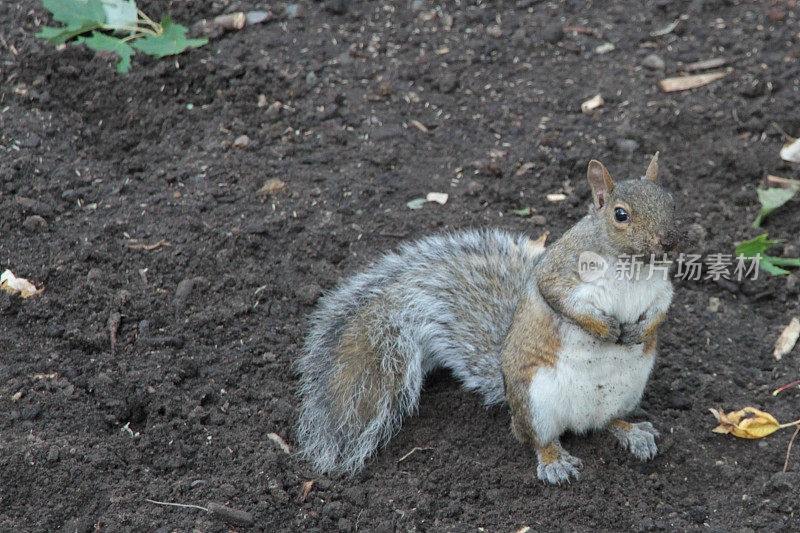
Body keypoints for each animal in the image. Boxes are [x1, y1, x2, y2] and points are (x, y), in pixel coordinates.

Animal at [296, 153, 680, 482]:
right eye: (620, 215)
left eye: (670, 200)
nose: (669, 241)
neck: (631, 265)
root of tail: (580, 420)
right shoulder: (560, 272)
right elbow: (559, 299)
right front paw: (603, 327)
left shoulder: (661, 286)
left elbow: (662, 307)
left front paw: (641, 330)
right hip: (536, 401)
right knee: (538, 439)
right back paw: (554, 461)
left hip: (627, 391)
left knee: (609, 422)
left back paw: (633, 432)